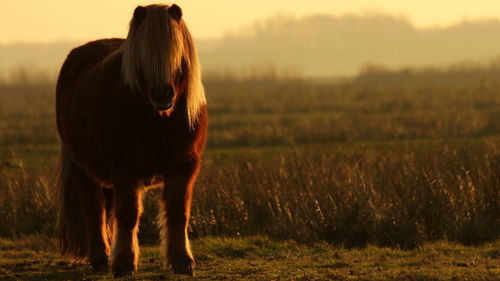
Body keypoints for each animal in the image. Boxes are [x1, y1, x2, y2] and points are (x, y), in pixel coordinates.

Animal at [56, 3, 207, 276]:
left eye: (176, 51)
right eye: (142, 56)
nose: (162, 94)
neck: (159, 120)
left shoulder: (184, 167)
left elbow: (178, 212)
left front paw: (182, 261)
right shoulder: (124, 170)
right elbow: (128, 215)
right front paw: (124, 263)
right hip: (83, 168)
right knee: (93, 209)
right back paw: (100, 258)